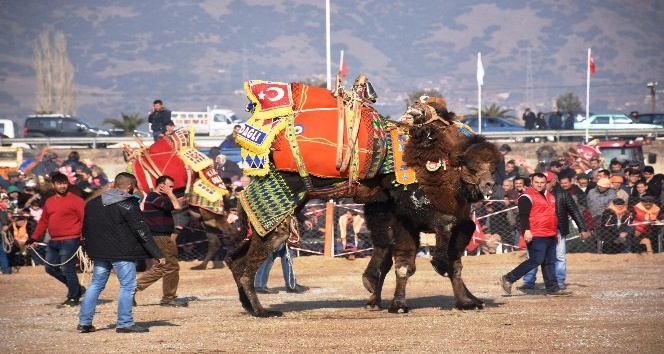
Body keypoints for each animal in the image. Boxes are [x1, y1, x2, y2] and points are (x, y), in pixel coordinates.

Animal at [223, 75, 498, 318]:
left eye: (494, 167)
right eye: (472, 167)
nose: (489, 185)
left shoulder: (386, 205)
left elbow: (407, 251)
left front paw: (467, 301)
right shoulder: (405, 196)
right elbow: (436, 234)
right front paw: (429, 276)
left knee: (235, 257)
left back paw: (250, 306)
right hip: (277, 203)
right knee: (255, 255)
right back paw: (263, 311)